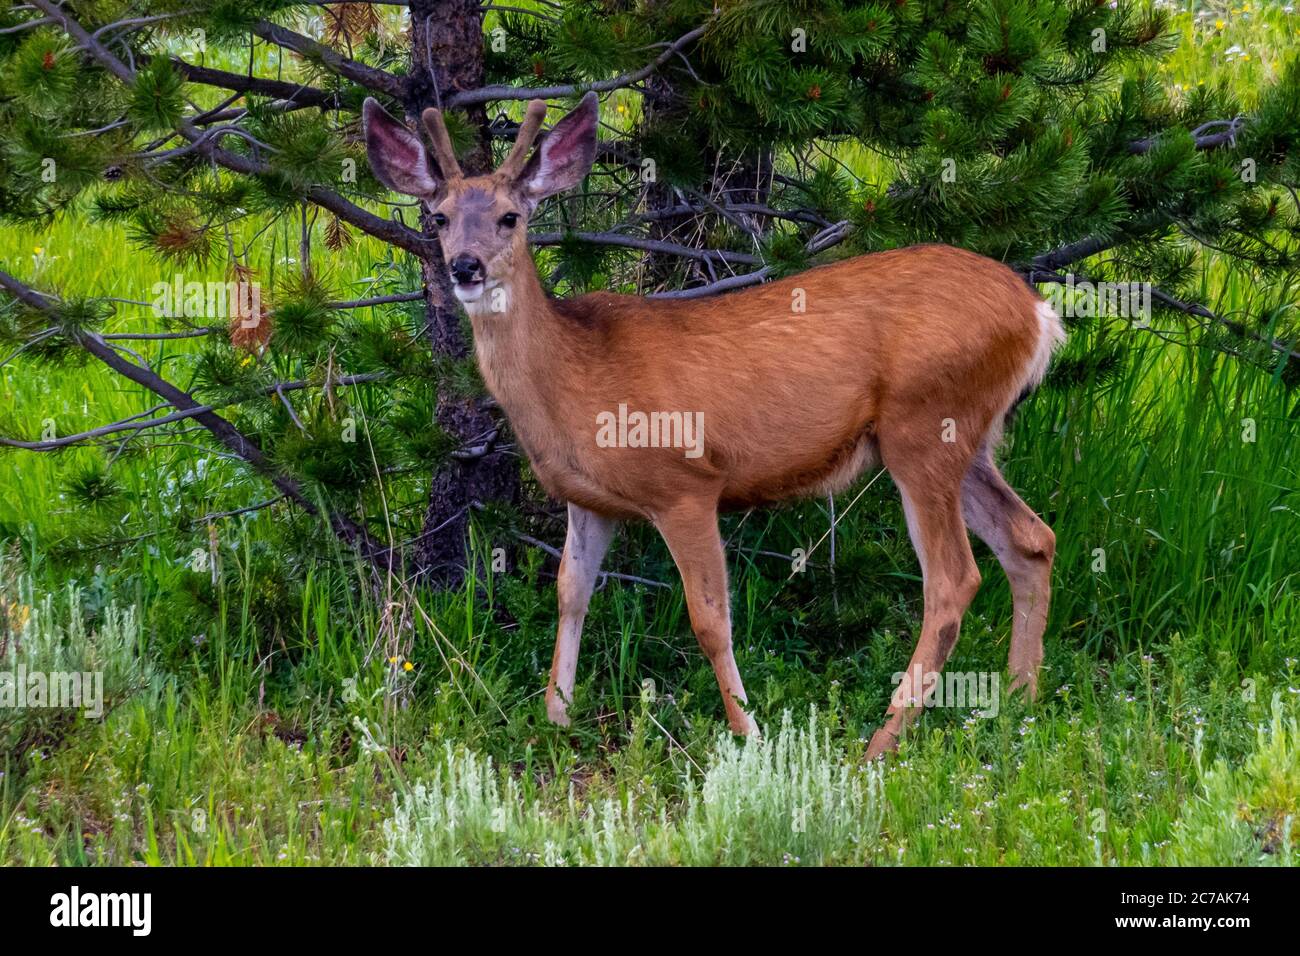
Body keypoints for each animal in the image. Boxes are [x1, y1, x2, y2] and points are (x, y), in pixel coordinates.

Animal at [364, 93, 1066, 759]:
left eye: (511, 217)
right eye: (439, 217)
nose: (465, 267)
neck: (574, 378)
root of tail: (1039, 313)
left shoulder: (685, 484)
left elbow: (708, 618)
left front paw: (747, 732)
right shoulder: (588, 500)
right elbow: (571, 592)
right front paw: (556, 718)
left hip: (924, 425)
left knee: (954, 580)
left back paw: (882, 742)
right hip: (966, 437)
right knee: (1031, 539)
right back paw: (1019, 703)